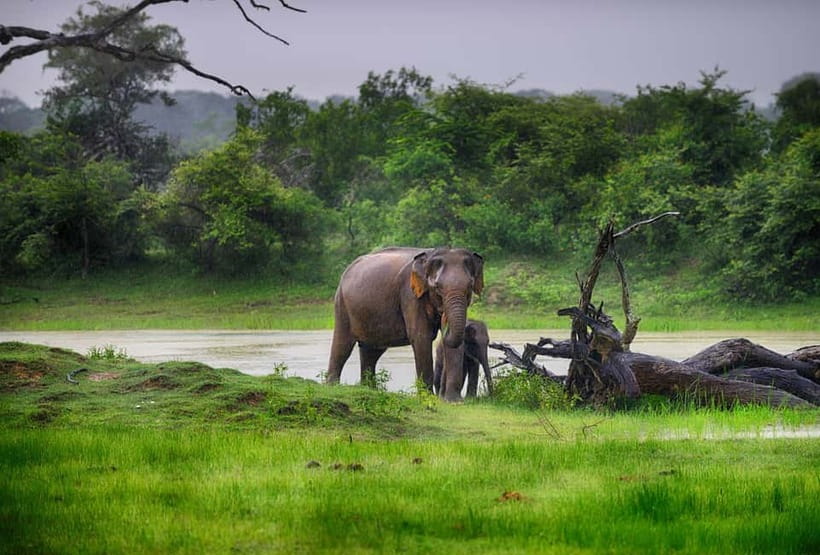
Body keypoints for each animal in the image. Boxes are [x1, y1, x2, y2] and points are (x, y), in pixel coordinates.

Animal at [326, 247, 484, 402]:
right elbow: (421, 337)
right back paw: (333, 386)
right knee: (343, 345)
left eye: (470, 286)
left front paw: (453, 401)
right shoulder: (410, 294)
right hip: (342, 304)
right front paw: (428, 398)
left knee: (371, 352)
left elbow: (456, 344)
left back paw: (369, 389)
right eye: (437, 287)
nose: (443, 319)